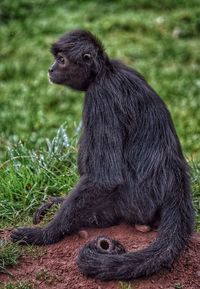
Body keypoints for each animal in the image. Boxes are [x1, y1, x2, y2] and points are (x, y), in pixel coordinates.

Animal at [10, 29, 194, 280]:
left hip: (131, 203)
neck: (106, 72)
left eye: (61, 60)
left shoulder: (101, 96)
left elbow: (104, 178)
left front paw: (43, 234)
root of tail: (176, 185)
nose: (50, 69)